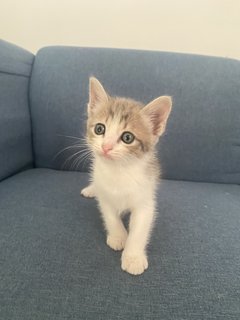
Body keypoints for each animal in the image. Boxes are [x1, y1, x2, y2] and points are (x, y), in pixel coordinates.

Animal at [81, 77, 172, 276]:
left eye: (127, 138)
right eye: (99, 128)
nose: (106, 147)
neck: (119, 171)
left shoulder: (146, 200)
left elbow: (139, 230)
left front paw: (133, 257)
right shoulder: (105, 195)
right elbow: (110, 215)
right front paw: (118, 236)